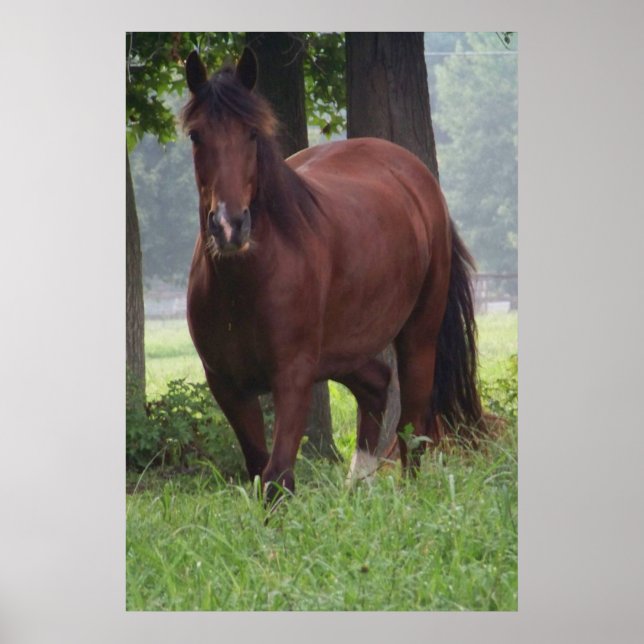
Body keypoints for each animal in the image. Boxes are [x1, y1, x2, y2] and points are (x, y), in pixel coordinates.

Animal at [181, 48, 483, 501]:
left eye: (252, 134)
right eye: (196, 136)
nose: (230, 226)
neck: (245, 286)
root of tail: (418, 179)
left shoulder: (293, 375)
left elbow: (277, 478)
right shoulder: (226, 384)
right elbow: (259, 471)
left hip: (417, 333)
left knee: (412, 425)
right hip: (341, 348)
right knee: (376, 383)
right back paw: (359, 481)